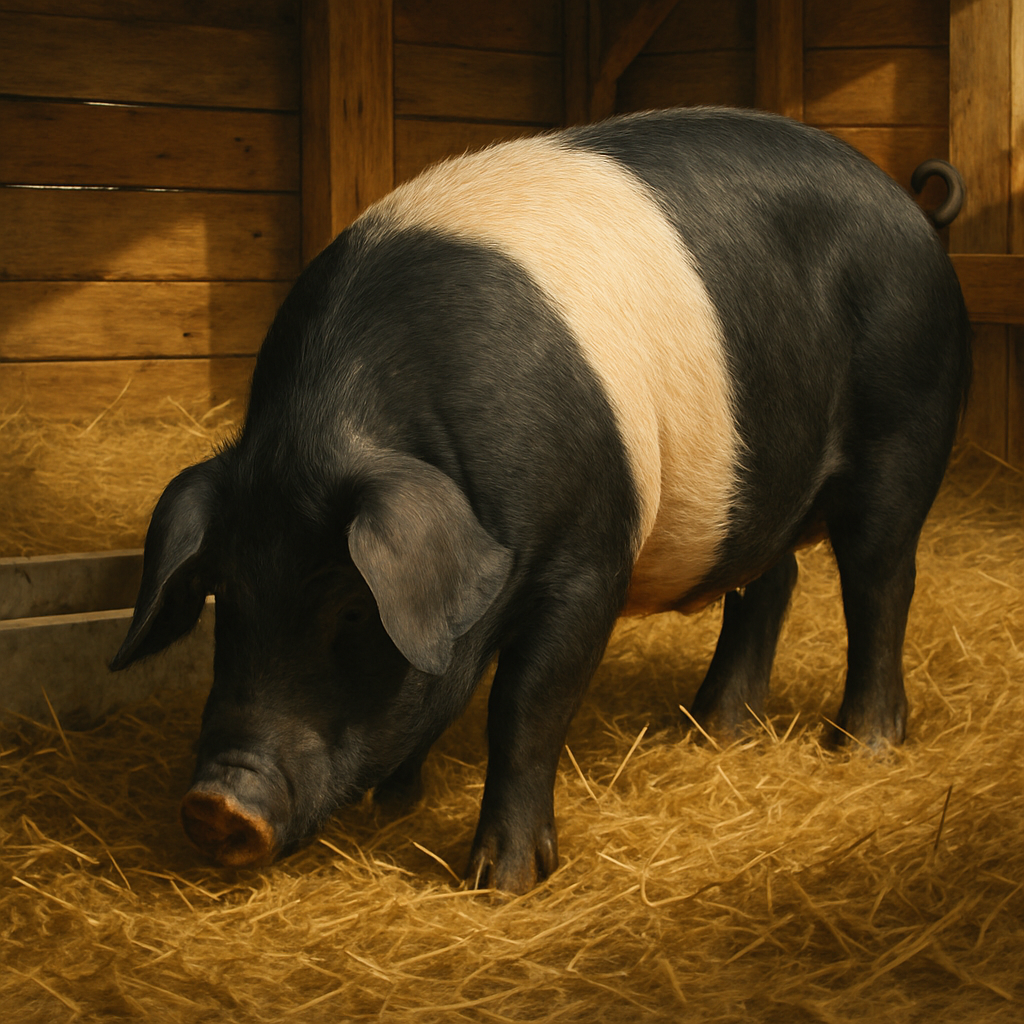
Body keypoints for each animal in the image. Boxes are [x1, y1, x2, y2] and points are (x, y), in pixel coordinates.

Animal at [111, 108, 971, 894]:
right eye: (226, 594)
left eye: (352, 609)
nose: (217, 806)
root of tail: (911, 208)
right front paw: (399, 804)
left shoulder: (590, 560)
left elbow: (524, 707)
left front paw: (502, 883)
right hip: (760, 487)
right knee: (771, 580)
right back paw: (712, 730)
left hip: (905, 422)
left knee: (880, 581)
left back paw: (861, 746)